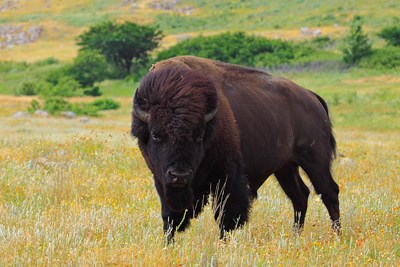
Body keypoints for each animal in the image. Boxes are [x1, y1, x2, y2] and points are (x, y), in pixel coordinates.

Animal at [131, 55, 340, 242]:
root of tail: (312, 97)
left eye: (199, 135)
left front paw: (223, 243)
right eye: (156, 134)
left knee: (329, 192)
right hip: (285, 168)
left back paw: (336, 236)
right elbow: (170, 217)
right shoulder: (161, 179)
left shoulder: (227, 177)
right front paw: (169, 244)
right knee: (300, 196)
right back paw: (296, 236)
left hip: (315, 161)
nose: (179, 175)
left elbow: (226, 216)